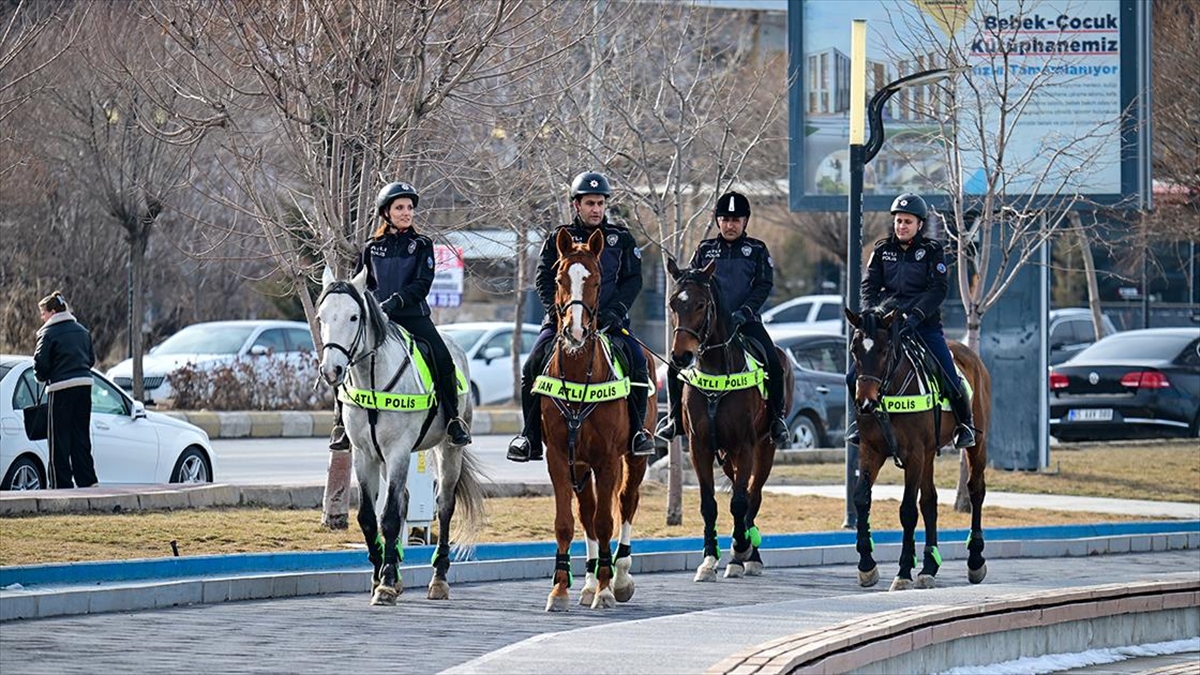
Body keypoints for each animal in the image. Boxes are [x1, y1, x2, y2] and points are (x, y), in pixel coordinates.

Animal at [319, 266, 492, 605]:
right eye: (321, 317)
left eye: (353, 317)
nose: (331, 370)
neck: (373, 379)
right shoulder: (365, 455)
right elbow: (369, 517)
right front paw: (381, 575)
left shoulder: (397, 450)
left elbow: (387, 517)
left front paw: (385, 583)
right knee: (405, 501)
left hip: (448, 450)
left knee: (444, 505)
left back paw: (439, 578)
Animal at [542, 225, 652, 610]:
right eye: (559, 277)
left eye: (596, 278)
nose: (575, 332)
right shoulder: (560, 457)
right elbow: (567, 521)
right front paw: (560, 589)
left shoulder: (608, 459)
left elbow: (606, 521)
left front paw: (606, 589)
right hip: (581, 464)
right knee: (587, 511)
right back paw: (588, 581)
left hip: (634, 459)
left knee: (626, 503)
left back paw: (619, 577)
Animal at [662, 255, 792, 578]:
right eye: (673, 303)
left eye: (701, 304)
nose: (680, 356)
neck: (717, 372)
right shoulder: (700, 447)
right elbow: (709, 503)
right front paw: (709, 559)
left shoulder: (745, 446)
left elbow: (740, 502)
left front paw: (742, 547)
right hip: (726, 454)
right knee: (740, 490)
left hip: (765, 447)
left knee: (753, 495)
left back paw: (748, 554)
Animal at [844, 306, 993, 588]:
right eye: (854, 349)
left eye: (884, 349)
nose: (865, 403)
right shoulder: (871, 449)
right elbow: (861, 498)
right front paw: (867, 564)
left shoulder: (914, 454)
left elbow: (907, 510)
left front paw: (903, 570)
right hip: (928, 454)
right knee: (930, 501)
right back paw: (928, 567)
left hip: (976, 444)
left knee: (976, 490)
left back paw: (975, 560)